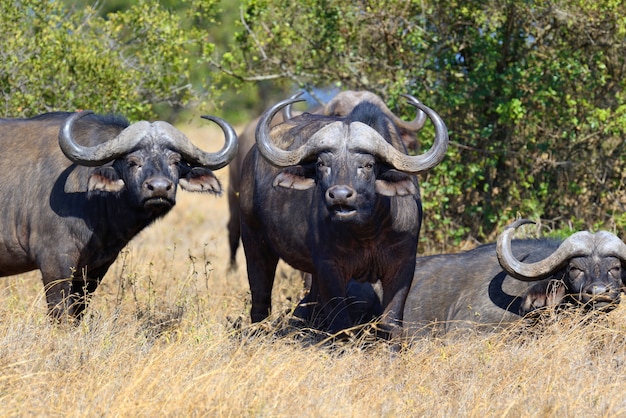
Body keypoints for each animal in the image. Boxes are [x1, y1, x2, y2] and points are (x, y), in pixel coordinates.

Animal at [0, 111, 236, 320]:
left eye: (175, 161)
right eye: (132, 162)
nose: (159, 188)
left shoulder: (94, 270)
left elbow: (78, 312)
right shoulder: (54, 264)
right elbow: (61, 314)